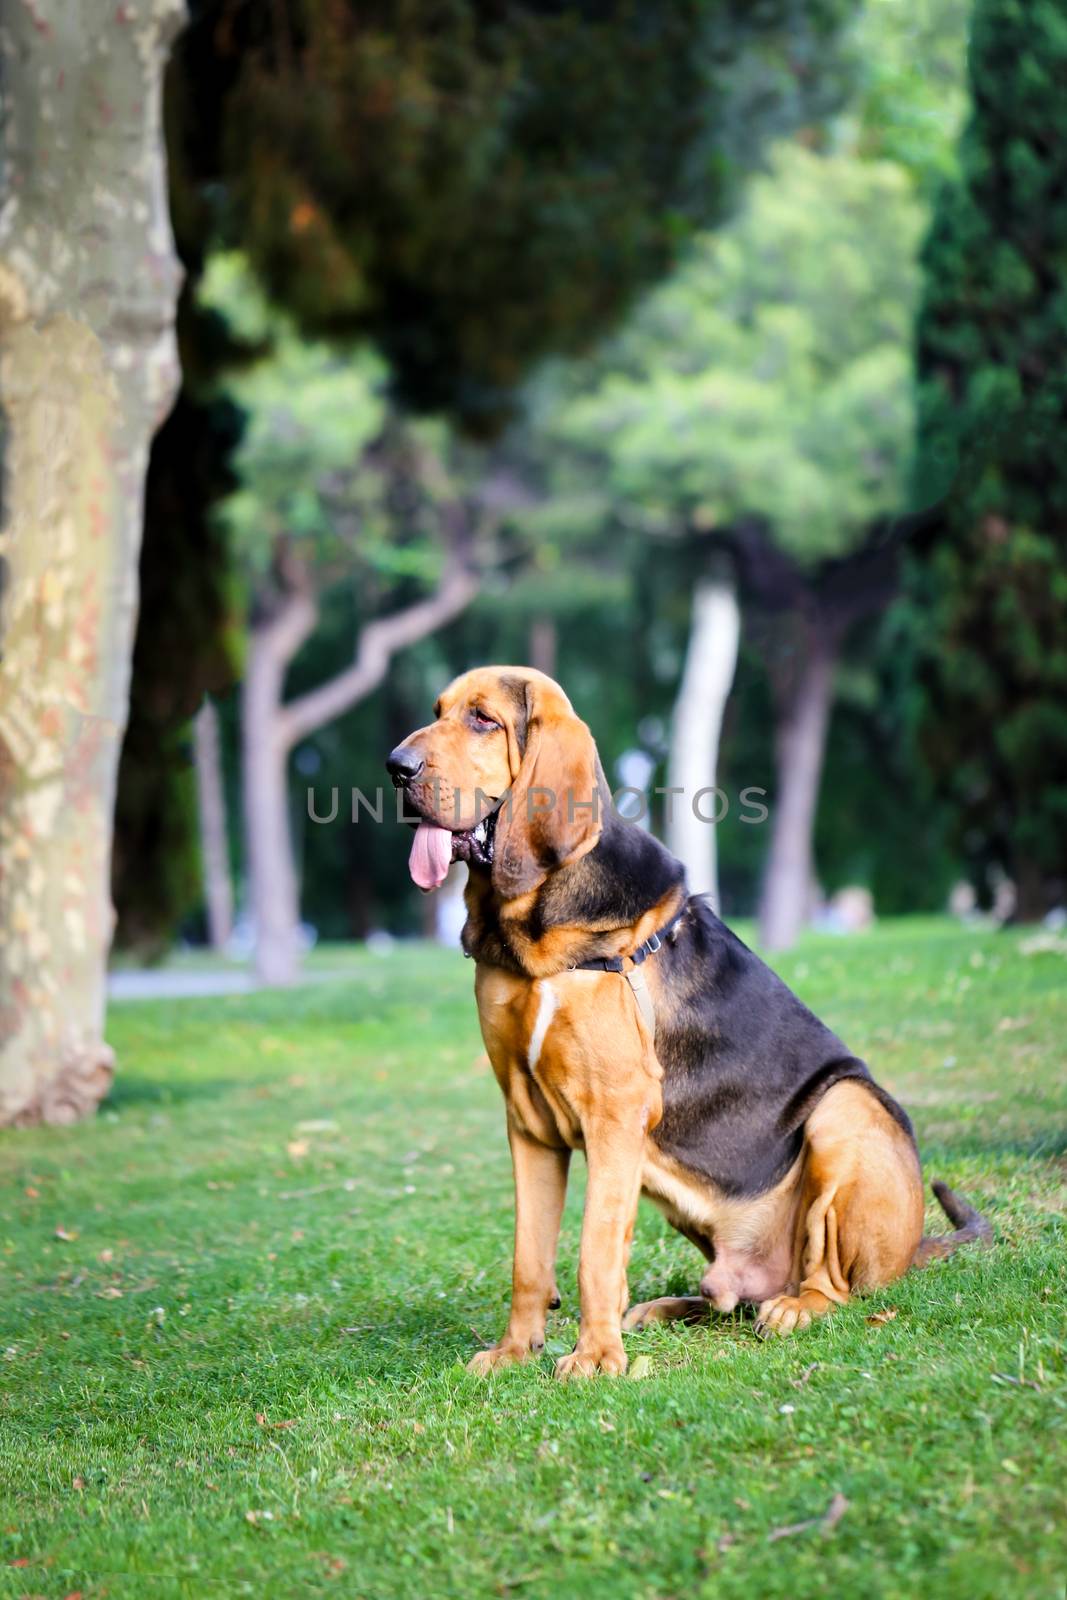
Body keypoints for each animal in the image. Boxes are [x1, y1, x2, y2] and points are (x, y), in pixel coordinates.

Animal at [388, 662, 991, 1376]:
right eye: (438, 710)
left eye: (484, 719)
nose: (396, 767)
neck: (532, 932)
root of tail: (916, 1243)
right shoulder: (528, 1122)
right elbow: (528, 1257)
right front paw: (514, 1352)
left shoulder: (614, 1113)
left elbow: (595, 1248)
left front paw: (594, 1359)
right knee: (724, 1298)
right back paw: (659, 1309)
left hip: (845, 1108)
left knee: (832, 1283)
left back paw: (794, 1308)